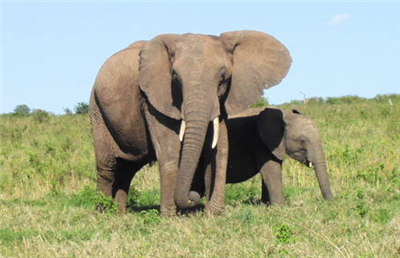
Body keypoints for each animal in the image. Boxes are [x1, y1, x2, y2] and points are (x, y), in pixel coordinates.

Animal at [89, 30, 292, 216]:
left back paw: (119, 212)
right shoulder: (151, 99)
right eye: (175, 77)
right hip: (97, 109)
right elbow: (169, 149)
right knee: (107, 166)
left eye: (223, 77)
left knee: (128, 167)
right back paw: (103, 213)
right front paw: (171, 217)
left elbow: (220, 148)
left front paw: (214, 214)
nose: (193, 196)